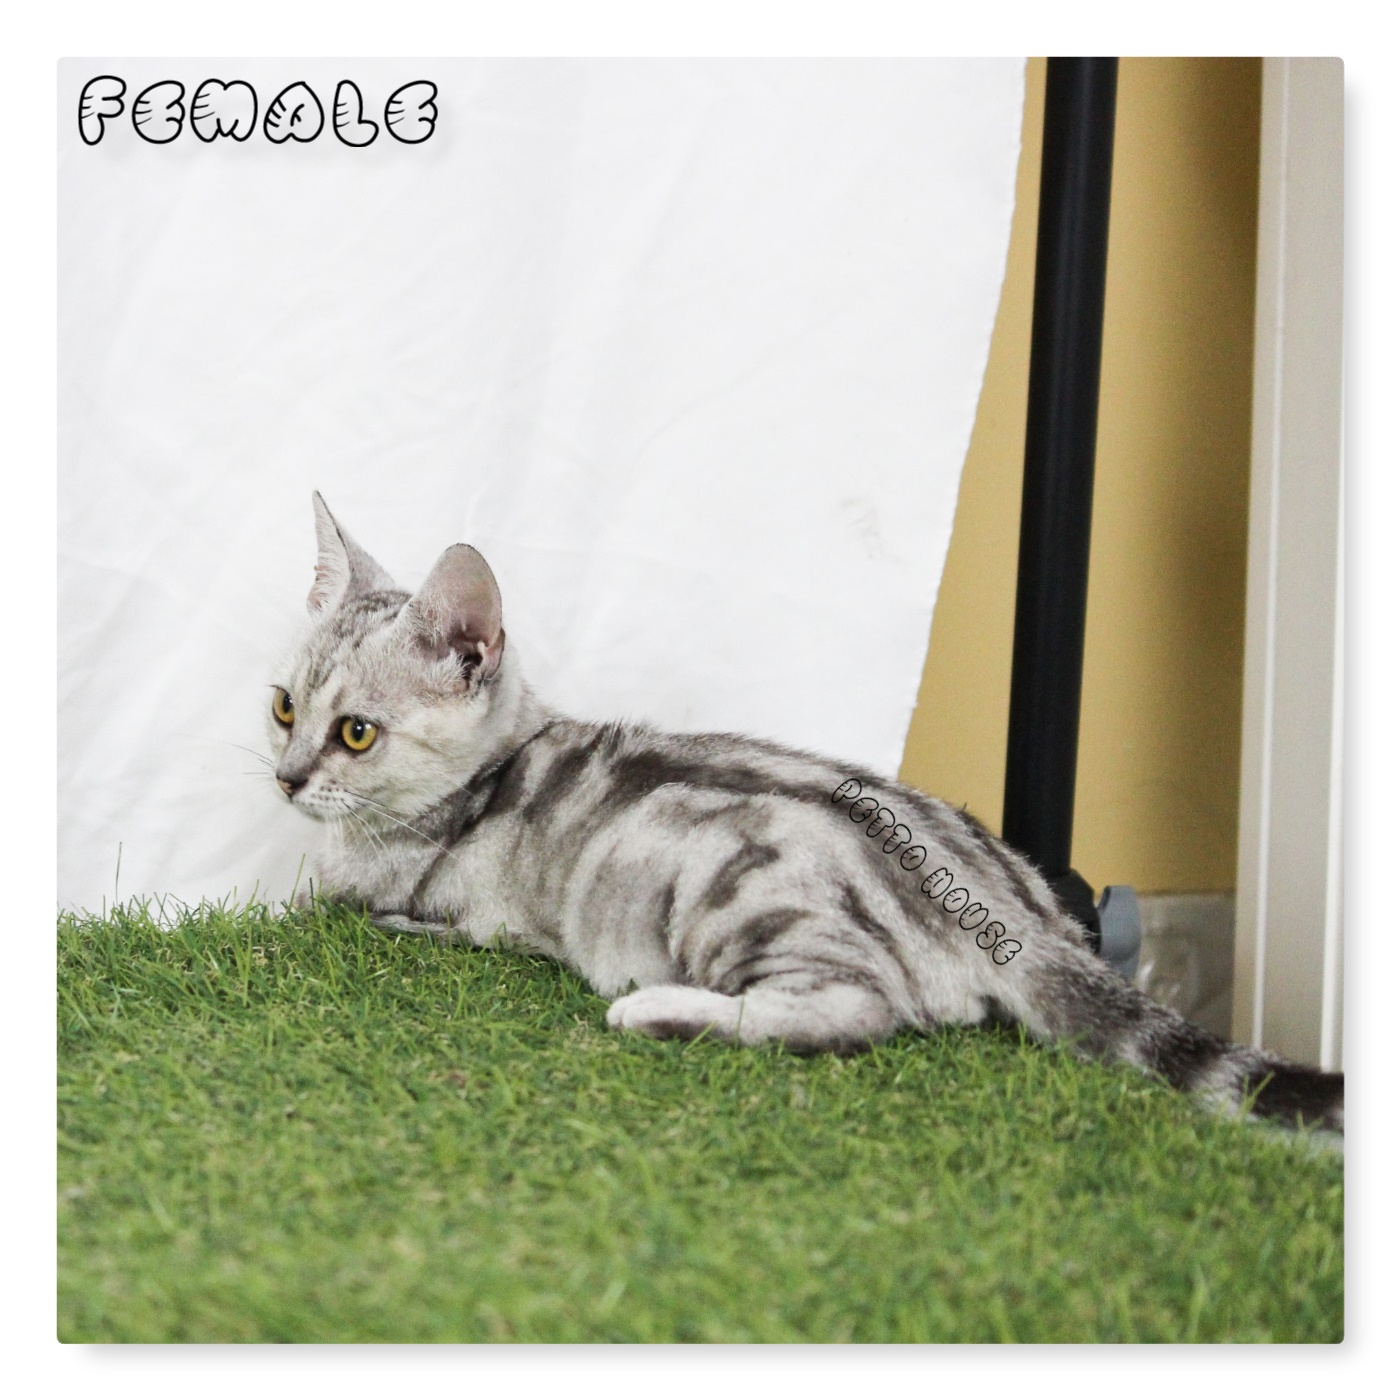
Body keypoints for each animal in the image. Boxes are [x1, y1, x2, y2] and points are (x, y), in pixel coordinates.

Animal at [268, 493, 1343, 1133]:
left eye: (355, 733)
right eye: (283, 707)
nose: (283, 778)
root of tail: (1021, 920)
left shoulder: (417, 904)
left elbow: (349, 907)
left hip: (746, 894)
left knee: (851, 1011)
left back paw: (657, 1008)